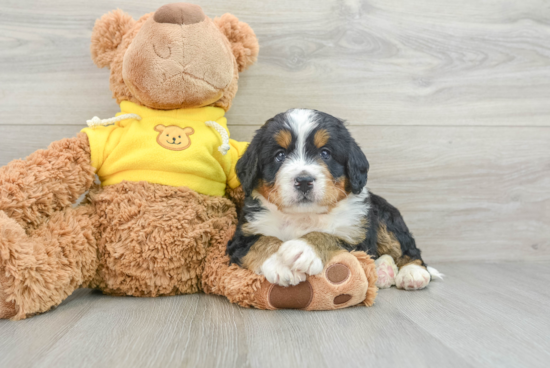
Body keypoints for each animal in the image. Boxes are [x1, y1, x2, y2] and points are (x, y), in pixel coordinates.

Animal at [229, 109, 444, 290]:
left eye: (325, 153)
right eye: (279, 155)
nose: (304, 181)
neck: (304, 216)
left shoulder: (356, 237)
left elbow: (330, 236)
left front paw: (303, 248)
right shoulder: (240, 239)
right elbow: (261, 241)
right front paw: (279, 263)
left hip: (385, 217)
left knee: (408, 249)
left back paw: (412, 273)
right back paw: (384, 271)